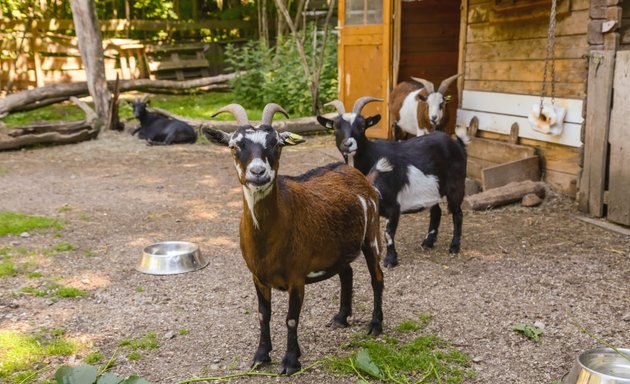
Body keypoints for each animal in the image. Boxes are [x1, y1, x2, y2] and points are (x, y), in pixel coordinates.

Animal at [318, 97, 472, 268]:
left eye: (362, 125)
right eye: (336, 127)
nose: (348, 144)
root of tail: (457, 144)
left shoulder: (394, 205)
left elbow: (388, 233)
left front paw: (390, 260)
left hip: (456, 185)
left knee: (457, 214)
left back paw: (454, 246)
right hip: (434, 189)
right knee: (436, 211)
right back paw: (428, 242)